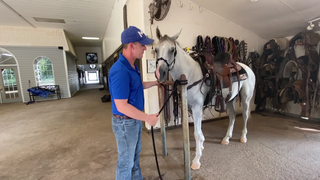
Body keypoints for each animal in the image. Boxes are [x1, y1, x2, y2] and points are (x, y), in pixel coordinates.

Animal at [154, 27, 256, 170]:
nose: (160, 74)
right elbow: (199, 131)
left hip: (246, 98)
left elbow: (197, 133)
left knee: (245, 116)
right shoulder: (192, 108)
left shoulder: (197, 107)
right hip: (229, 99)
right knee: (232, 116)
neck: (191, 74)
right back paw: (226, 138)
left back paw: (243, 137)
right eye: (156, 49)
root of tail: (247, 68)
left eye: (172, 50)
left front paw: (196, 160)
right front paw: (201, 147)